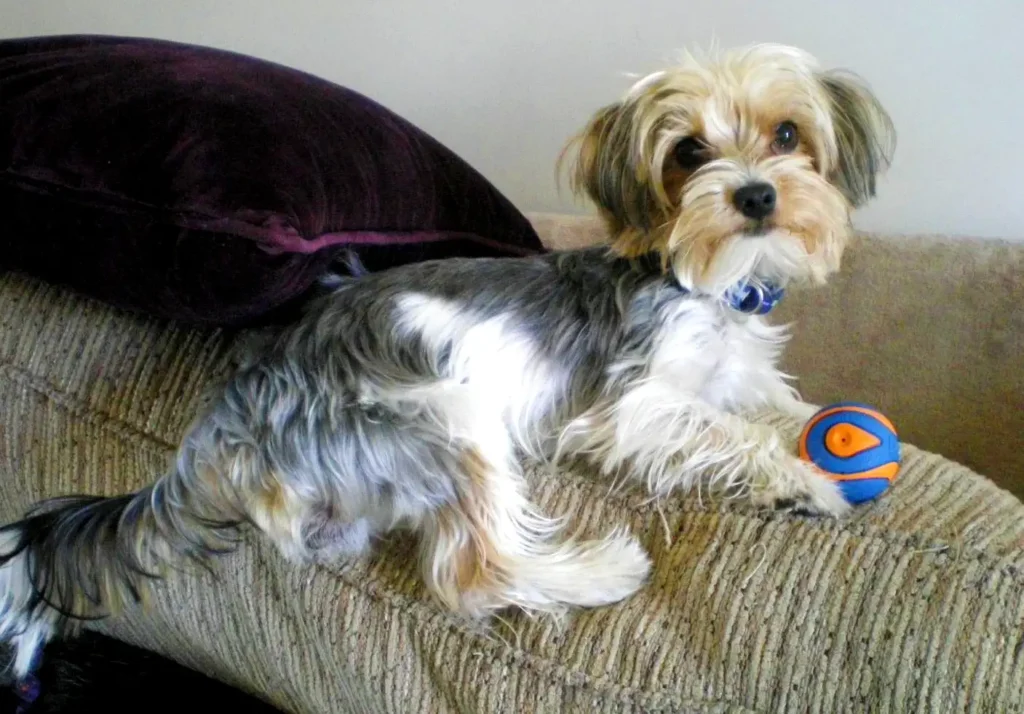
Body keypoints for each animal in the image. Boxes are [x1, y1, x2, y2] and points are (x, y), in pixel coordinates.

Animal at [0, 41, 892, 676]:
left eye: (787, 135)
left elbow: (782, 408)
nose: (755, 194)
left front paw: (813, 439)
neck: (701, 282)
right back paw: (602, 572)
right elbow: (725, 430)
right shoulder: (630, 404)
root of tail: (236, 410)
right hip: (446, 415)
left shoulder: (742, 374)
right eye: (689, 153)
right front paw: (804, 481)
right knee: (474, 574)